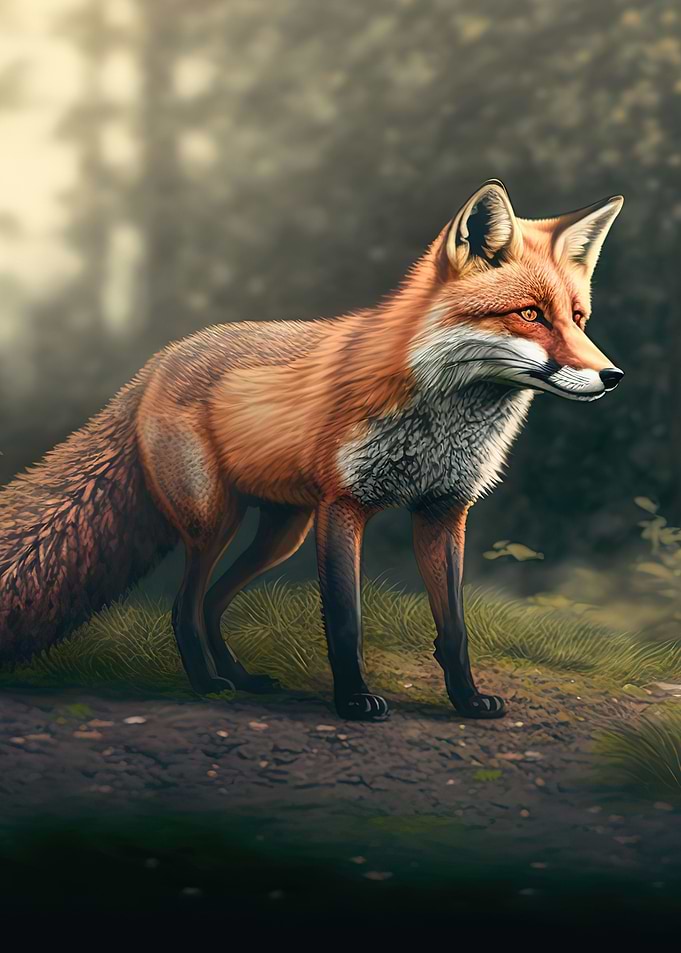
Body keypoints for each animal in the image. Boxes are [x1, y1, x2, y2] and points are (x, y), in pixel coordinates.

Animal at [0, 180, 624, 721]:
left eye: (578, 318)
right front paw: (353, 702)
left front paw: (467, 702)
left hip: (281, 532)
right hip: (215, 522)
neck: (441, 417)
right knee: (184, 606)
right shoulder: (343, 505)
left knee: (212, 602)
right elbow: (345, 621)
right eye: (529, 314)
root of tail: (155, 364)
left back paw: (241, 678)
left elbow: (455, 628)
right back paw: (207, 684)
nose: (613, 377)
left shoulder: (443, 511)